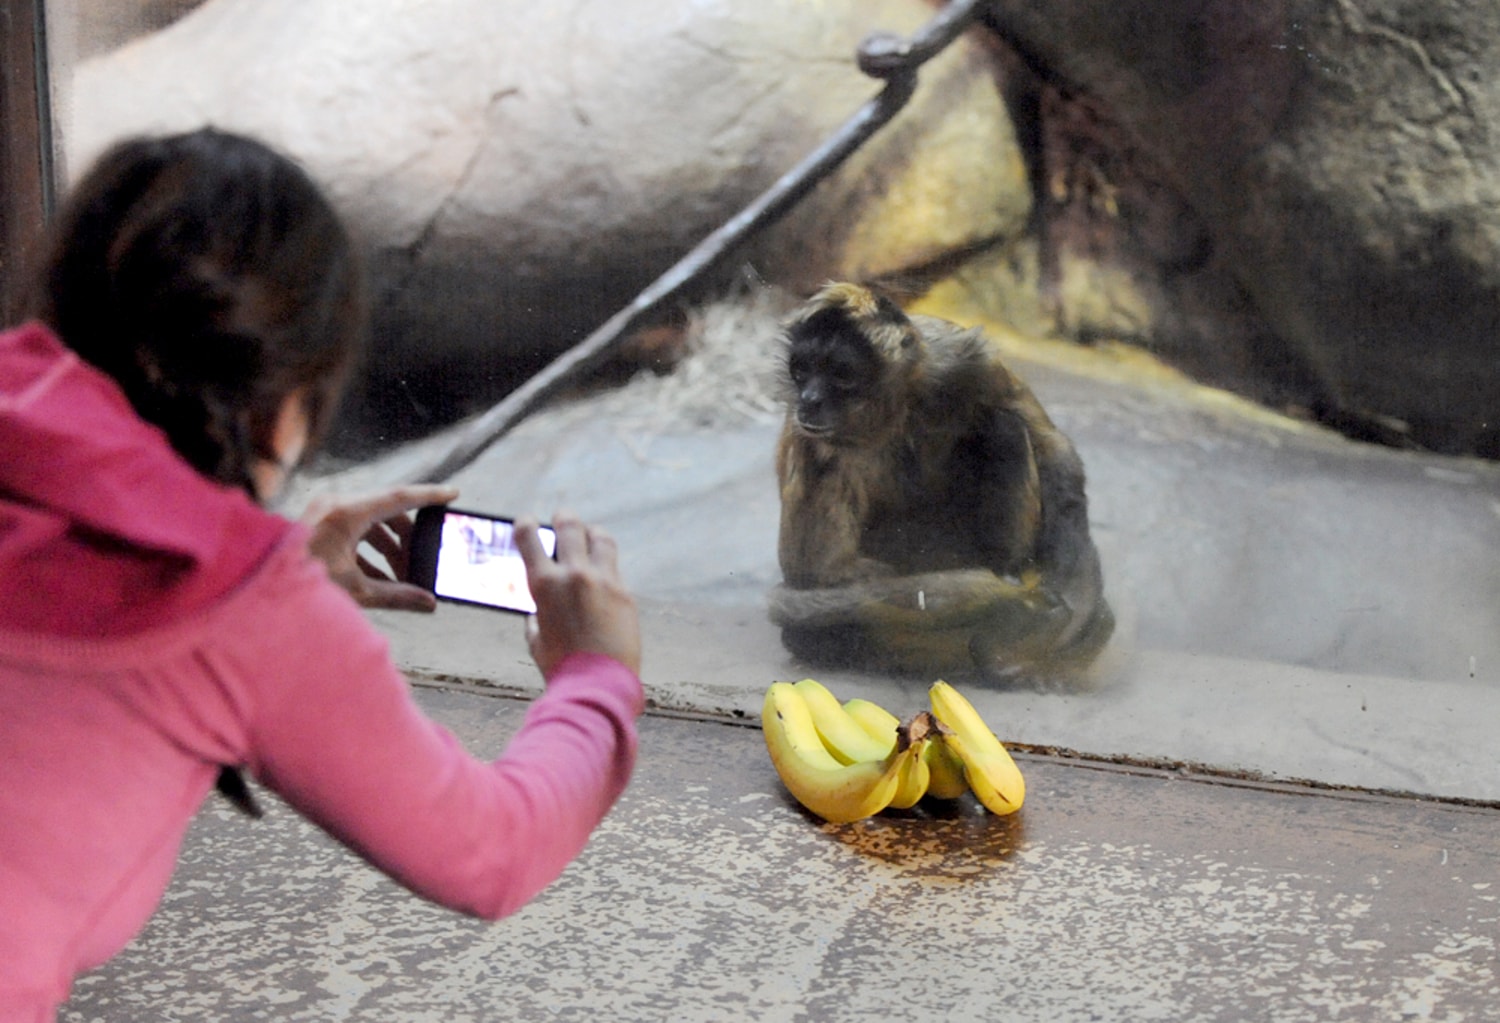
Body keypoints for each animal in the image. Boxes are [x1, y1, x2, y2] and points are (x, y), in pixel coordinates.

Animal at [774, 283, 1116, 681]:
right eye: (801, 370)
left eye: (841, 374)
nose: (809, 399)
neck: (890, 412)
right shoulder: (809, 434)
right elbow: (818, 574)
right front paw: (1014, 616)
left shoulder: (960, 356)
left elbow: (1052, 447)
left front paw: (1075, 603)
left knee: (1003, 425)